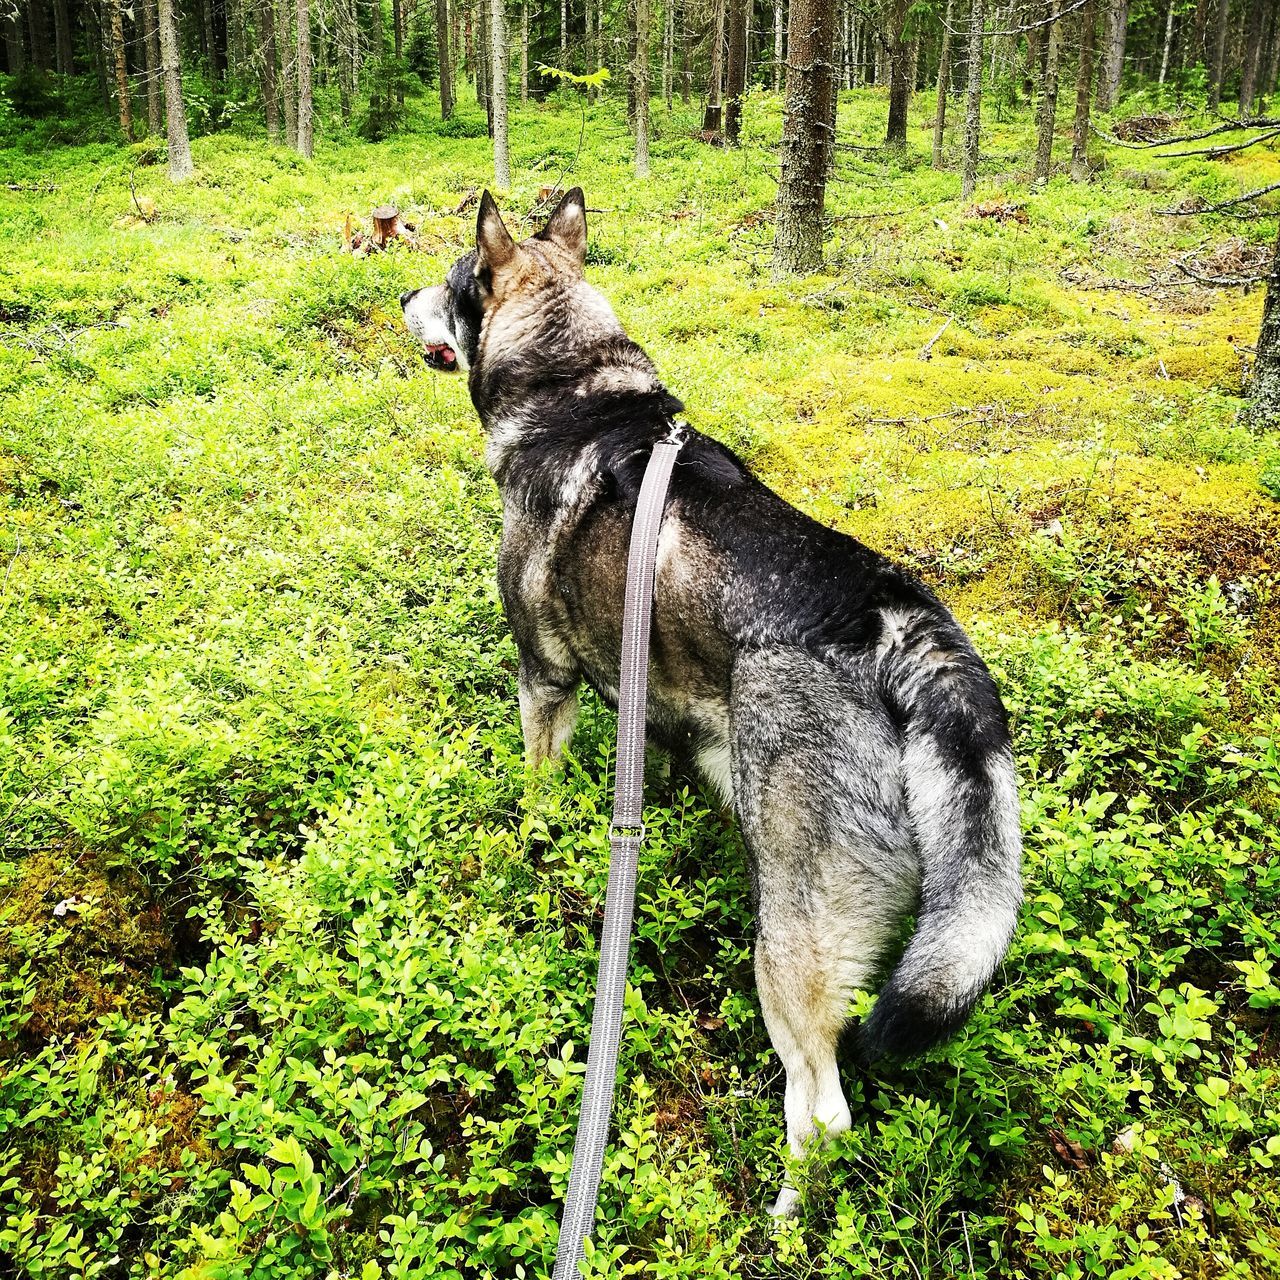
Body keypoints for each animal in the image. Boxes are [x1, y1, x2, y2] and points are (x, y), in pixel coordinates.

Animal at [399, 186, 1018, 1208]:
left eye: (453, 282)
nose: (403, 297)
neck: (576, 390)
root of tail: (899, 621)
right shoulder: (649, 713)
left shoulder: (544, 676)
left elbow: (534, 788)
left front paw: (527, 844)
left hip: (792, 942)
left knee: (822, 1112)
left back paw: (782, 1218)